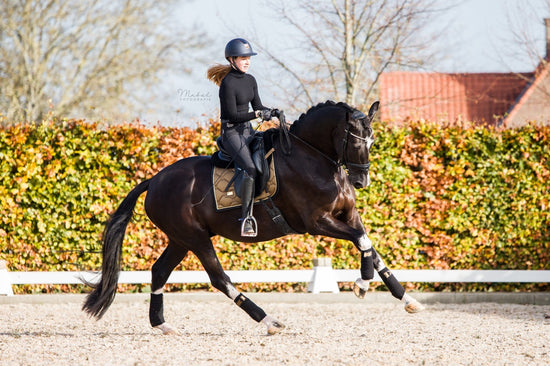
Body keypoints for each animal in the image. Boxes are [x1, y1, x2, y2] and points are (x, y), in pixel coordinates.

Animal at [83, 100, 426, 334]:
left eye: (373, 141)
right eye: (355, 141)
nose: (361, 181)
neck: (314, 157)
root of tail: (155, 180)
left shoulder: (348, 215)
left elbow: (369, 245)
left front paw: (406, 298)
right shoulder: (316, 223)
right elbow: (361, 241)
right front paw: (362, 284)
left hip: (180, 239)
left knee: (159, 271)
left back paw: (161, 324)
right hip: (195, 238)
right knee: (218, 278)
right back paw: (269, 320)